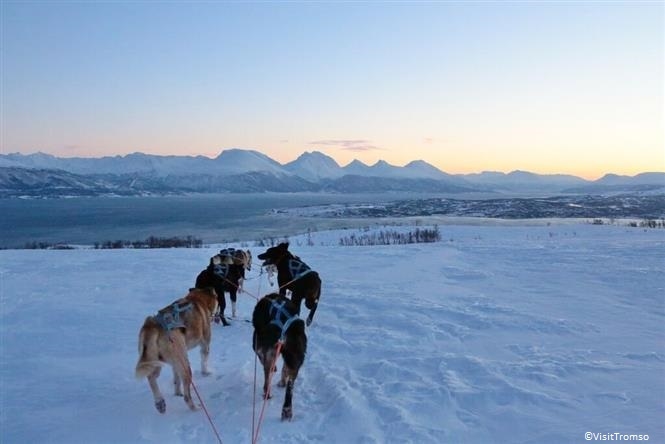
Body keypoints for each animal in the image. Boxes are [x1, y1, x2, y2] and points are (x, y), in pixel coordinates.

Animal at [134, 286, 218, 414]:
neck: (198, 299)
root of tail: (152, 325)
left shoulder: (175, 363)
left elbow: (176, 378)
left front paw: (177, 392)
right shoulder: (205, 344)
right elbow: (204, 361)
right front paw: (205, 373)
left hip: (155, 361)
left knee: (151, 377)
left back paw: (160, 403)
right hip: (185, 365)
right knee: (187, 396)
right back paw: (195, 408)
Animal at [253, 294, 308, 422]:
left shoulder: (260, 350)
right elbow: (285, 369)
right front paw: (282, 381)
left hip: (266, 352)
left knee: (267, 377)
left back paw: (267, 393)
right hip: (296, 356)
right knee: (290, 384)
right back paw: (287, 409)